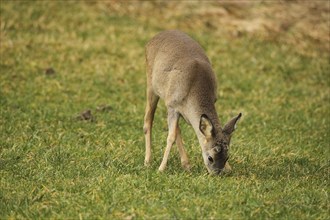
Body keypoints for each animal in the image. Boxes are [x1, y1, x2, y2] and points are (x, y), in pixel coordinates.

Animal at [143, 30, 241, 175]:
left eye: (227, 157)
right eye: (210, 158)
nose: (216, 173)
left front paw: (229, 168)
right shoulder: (172, 106)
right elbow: (170, 137)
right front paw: (161, 168)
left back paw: (186, 164)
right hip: (151, 85)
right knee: (148, 120)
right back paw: (147, 161)